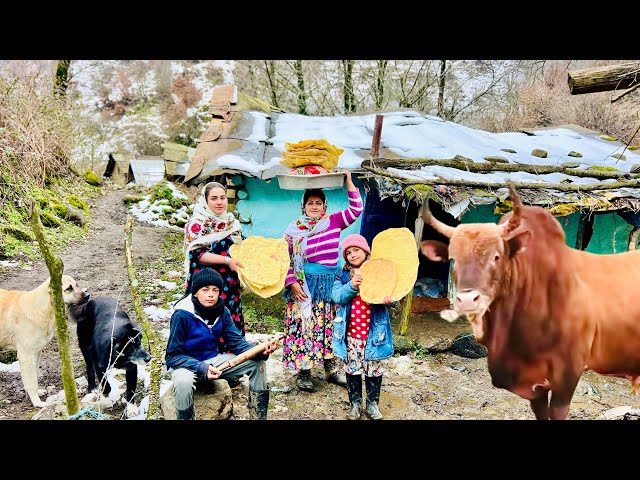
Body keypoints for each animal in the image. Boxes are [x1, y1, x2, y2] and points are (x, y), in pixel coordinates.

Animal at [0, 276, 86, 406]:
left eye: (77, 285)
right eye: (68, 289)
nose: (88, 295)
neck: (44, 307)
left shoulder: (36, 352)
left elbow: (33, 375)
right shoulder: (26, 355)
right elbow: (32, 382)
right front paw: (37, 402)